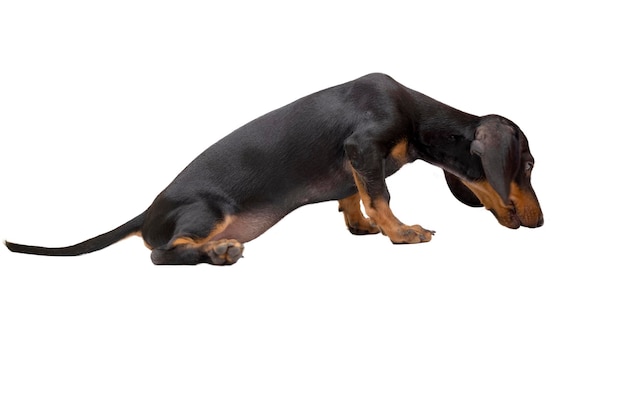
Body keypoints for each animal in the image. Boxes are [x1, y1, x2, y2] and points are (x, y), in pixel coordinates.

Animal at [4, 73, 540, 264]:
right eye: (529, 163)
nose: (539, 223)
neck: (411, 111)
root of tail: (146, 214)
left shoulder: (352, 162)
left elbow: (353, 196)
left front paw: (362, 226)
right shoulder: (365, 147)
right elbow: (380, 195)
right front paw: (402, 232)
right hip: (208, 212)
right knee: (162, 253)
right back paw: (217, 251)